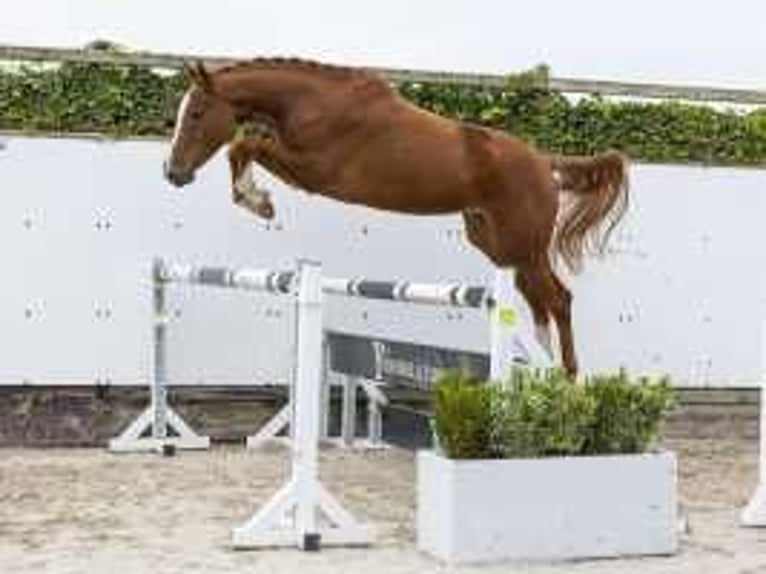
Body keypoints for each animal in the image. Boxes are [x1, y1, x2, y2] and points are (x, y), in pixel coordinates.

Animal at [166, 59, 632, 378]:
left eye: (196, 114)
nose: (173, 174)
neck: (312, 103)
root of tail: (542, 161)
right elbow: (245, 145)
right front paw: (255, 198)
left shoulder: (316, 171)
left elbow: (244, 146)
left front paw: (258, 201)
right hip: (498, 244)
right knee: (541, 302)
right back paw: (542, 371)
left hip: (524, 245)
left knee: (558, 300)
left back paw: (565, 377)